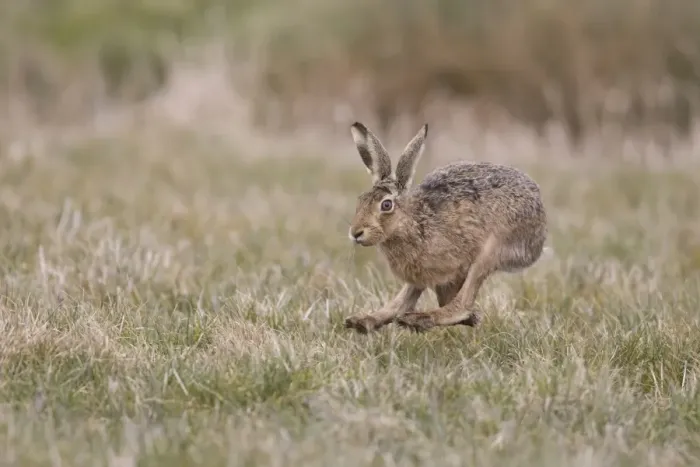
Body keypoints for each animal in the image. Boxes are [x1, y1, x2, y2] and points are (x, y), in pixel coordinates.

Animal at [345, 122, 548, 333]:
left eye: (386, 205)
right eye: (361, 200)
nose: (355, 233)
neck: (412, 223)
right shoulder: (421, 275)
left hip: (493, 249)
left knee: (462, 303)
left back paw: (421, 319)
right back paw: (364, 321)